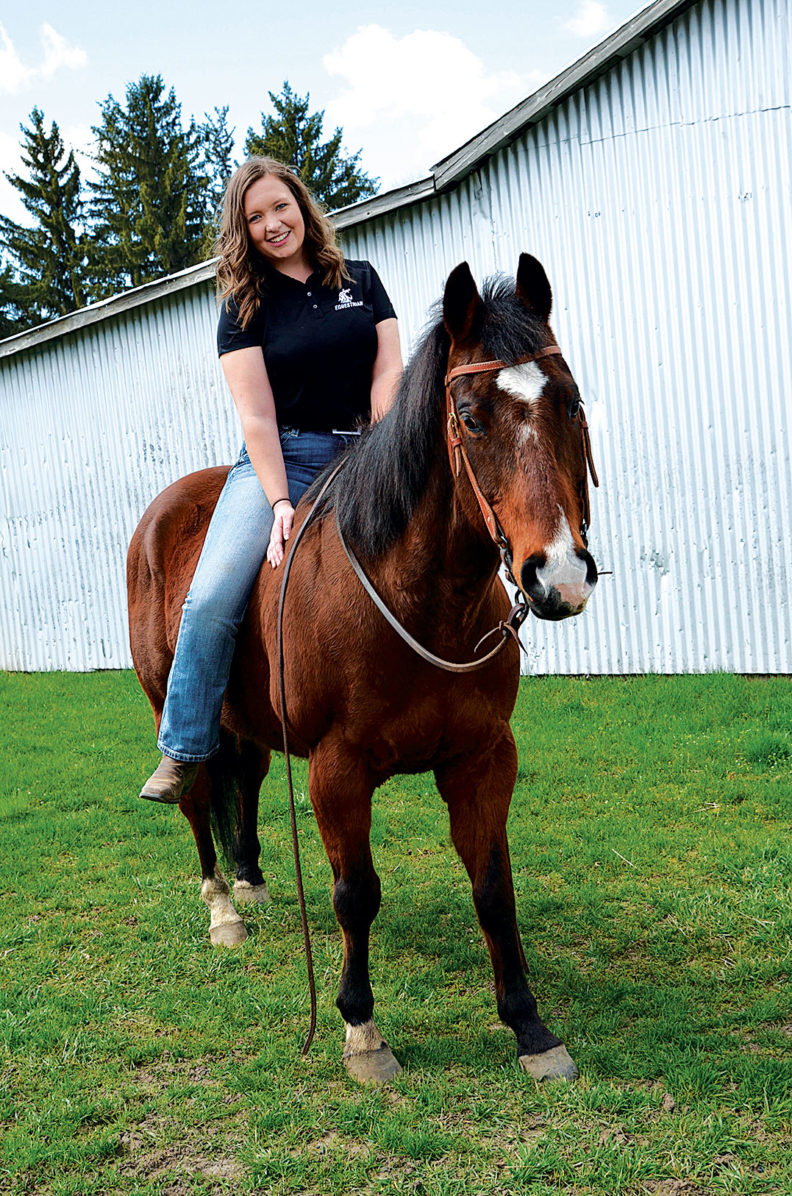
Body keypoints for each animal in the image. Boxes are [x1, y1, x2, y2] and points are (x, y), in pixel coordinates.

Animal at [127, 254, 599, 1084]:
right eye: (470, 417)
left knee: (246, 781)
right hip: (169, 705)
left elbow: (493, 888)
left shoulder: (484, 758)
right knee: (196, 797)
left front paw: (530, 1027)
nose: (558, 575)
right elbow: (355, 894)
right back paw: (223, 908)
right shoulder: (337, 768)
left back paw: (251, 881)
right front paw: (361, 1030)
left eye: (569, 402)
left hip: (247, 723)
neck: (413, 597)